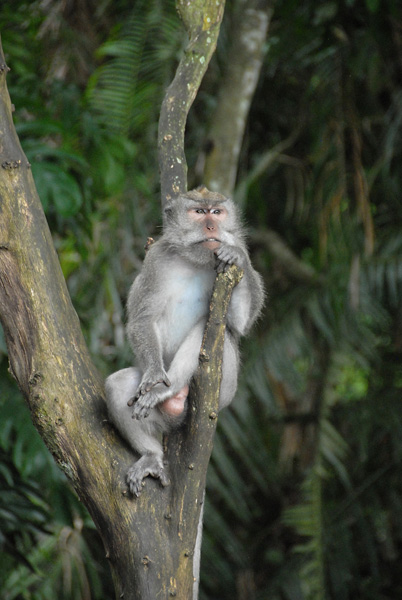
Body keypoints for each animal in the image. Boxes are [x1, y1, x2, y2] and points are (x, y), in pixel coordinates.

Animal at [105, 186, 266, 496]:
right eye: (199, 212)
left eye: (217, 212)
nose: (212, 226)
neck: (195, 259)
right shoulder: (156, 259)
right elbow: (143, 319)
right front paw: (155, 376)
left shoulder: (241, 256)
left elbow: (238, 324)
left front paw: (234, 253)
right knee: (117, 386)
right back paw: (152, 452)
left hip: (225, 390)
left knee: (212, 329)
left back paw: (170, 391)